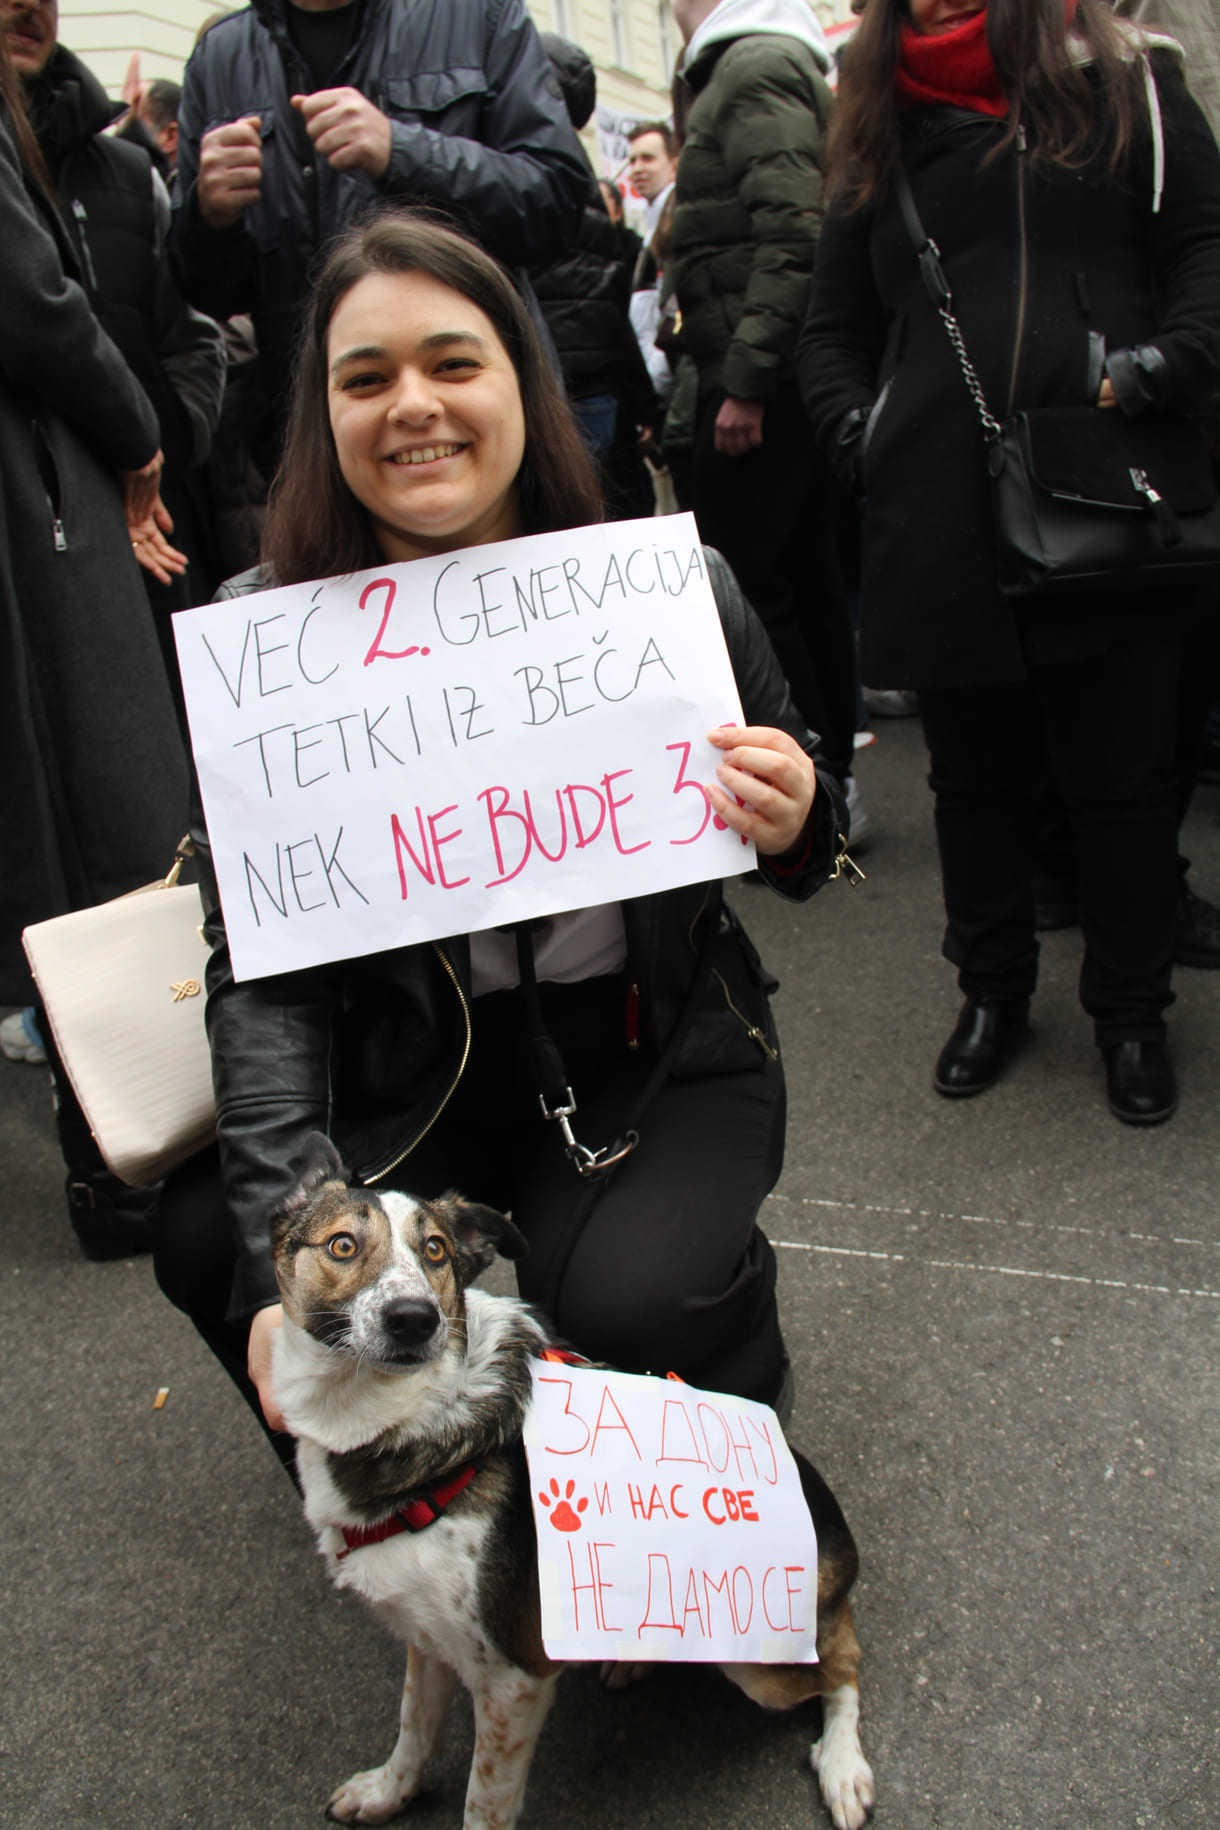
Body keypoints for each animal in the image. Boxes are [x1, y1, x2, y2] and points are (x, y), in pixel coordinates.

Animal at [270, 1134, 874, 1822]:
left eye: (436, 1251)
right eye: (343, 1244)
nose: (414, 1319)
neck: (407, 1416)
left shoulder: (514, 1680)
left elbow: (483, 1802)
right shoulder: (427, 1636)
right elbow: (413, 1728)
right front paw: (387, 1792)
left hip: (765, 1663)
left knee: (845, 1661)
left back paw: (844, 1764)